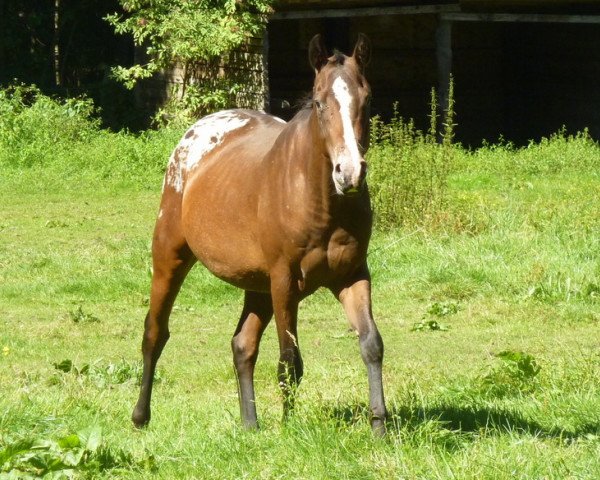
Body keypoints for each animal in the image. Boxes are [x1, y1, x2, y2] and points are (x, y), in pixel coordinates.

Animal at [130, 34, 390, 436]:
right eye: (319, 102)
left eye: (368, 99)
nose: (350, 173)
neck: (320, 200)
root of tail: (197, 133)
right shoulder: (285, 282)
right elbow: (289, 360)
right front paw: (290, 428)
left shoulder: (351, 276)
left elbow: (371, 344)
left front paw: (379, 426)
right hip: (171, 255)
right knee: (154, 333)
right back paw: (141, 416)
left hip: (257, 286)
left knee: (243, 344)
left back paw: (249, 424)